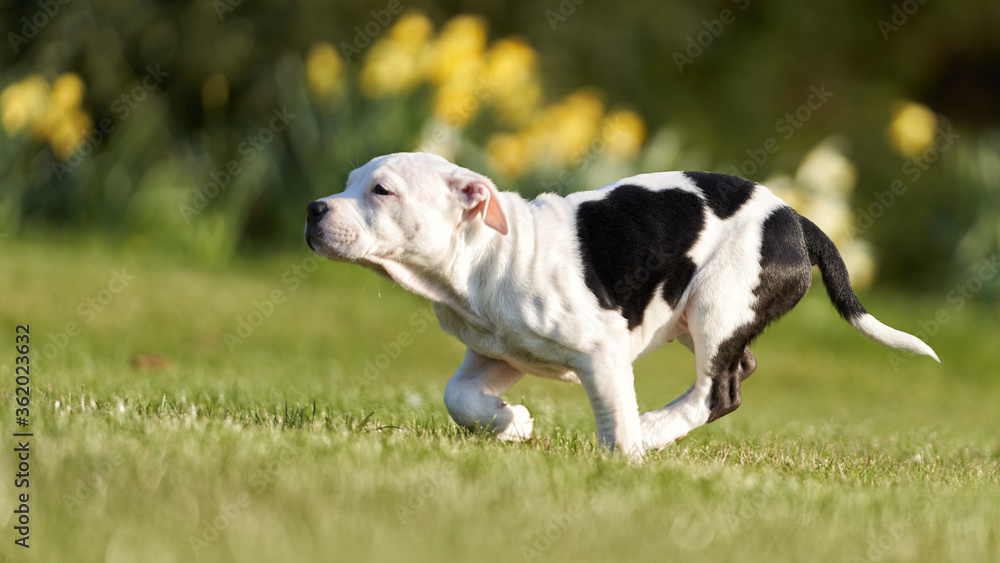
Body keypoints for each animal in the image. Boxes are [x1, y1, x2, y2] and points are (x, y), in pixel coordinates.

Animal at [304, 153, 936, 458]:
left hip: (718, 302)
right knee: (740, 368)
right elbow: (456, 395)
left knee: (716, 391)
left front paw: (623, 455)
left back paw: (652, 432)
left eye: (382, 190)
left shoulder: (601, 349)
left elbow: (611, 410)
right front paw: (510, 424)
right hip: (692, 314)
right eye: (349, 182)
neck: (485, 257)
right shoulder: (499, 353)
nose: (314, 208)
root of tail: (798, 221)